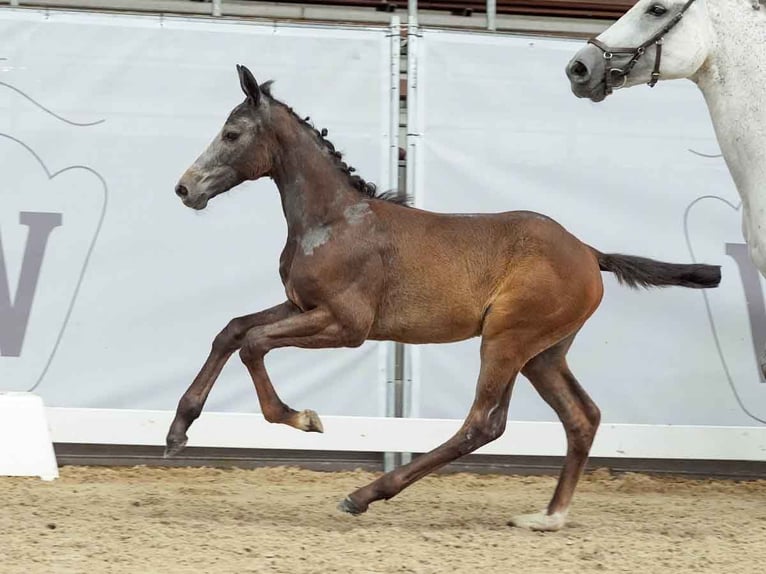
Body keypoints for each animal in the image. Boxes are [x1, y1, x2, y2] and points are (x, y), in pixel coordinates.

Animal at [165, 65, 724, 532]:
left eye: (232, 134)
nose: (185, 188)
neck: (334, 220)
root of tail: (589, 252)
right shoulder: (303, 307)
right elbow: (232, 330)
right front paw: (177, 433)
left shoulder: (347, 325)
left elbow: (254, 342)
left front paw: (302, 418)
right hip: (543, 354)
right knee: (581, 417)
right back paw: (548, 517)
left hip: (506, 340)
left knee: (483, 424)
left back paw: (364, 494)